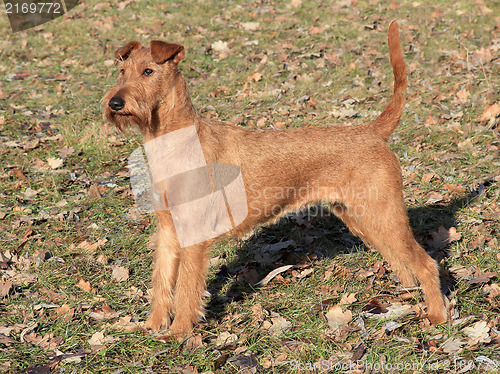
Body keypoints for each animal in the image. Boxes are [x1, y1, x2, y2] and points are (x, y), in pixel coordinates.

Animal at [103, 20, 448, 336]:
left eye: (148, 71)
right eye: (121, 72)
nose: (115, 103)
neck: (172, 141)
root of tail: (371, 131)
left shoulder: (194, 234)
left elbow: (187, 287)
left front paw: (179, 333)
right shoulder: (168, 230)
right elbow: (161, 281)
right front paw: (152, 325)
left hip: (383, 215)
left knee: (426, 263)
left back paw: (437, 316)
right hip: (362, 218)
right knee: (402, 262)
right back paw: (405, 298)